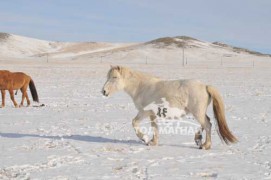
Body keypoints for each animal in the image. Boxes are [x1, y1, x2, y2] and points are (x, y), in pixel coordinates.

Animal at [102, 65, 238, 150]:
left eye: (114, 77)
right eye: (107, 77)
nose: (103, 91)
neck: (142, 87)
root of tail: (205, 86)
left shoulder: (144, 112)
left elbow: (134, 123)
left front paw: (145, 139)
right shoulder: (152, 114)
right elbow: (155, 128)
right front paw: (153, 142)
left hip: (197, 112)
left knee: (208, 125)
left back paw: (205, 145)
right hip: (198, 112)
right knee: (207, 122)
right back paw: (198, 139)